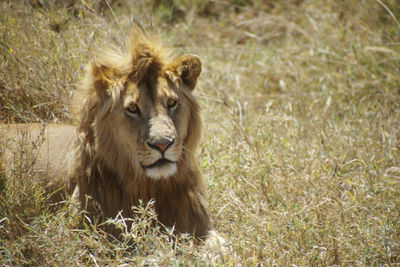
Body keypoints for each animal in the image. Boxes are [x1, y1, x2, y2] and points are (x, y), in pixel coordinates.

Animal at [1, 28, 223, 246]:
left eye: (171, 103)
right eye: (132, 108)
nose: (162, 145)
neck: (151, 187)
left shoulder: (201, 227)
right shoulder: (80, 229)